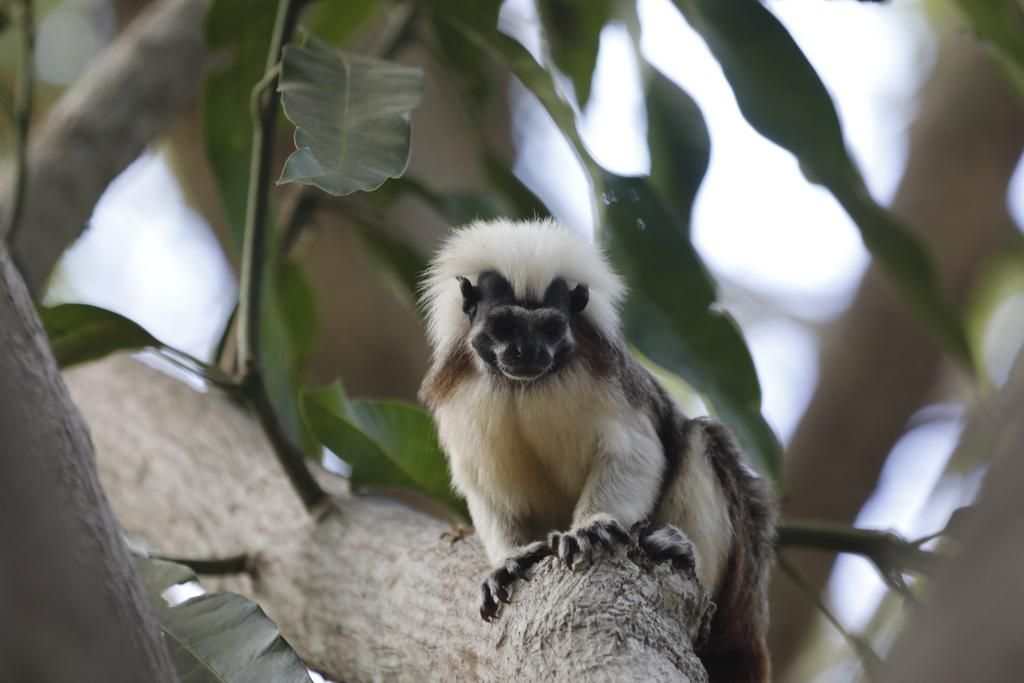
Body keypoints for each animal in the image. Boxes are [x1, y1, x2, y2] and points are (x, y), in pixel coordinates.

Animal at [419, 217, 777, 682]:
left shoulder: (609, 380)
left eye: (550, 329)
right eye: (505, 327)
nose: (525, 352)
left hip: (737, 589)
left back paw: (678, 549)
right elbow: (486, 489)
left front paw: (590, 528)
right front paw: (508, 562)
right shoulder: (463, 395)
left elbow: (635, 453)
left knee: (702, 439)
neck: (525, 387)